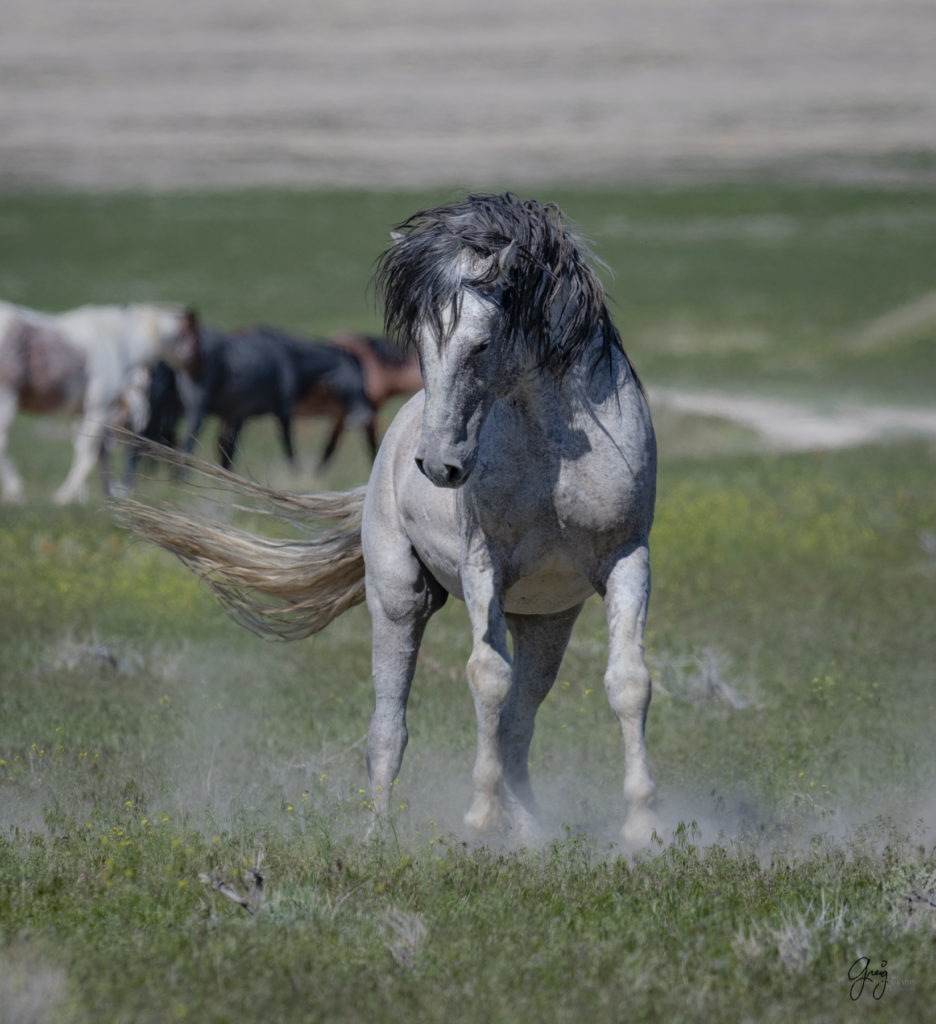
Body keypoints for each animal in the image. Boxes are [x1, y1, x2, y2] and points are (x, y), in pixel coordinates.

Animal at [0, 299, 196, 503]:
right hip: (7, 400)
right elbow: (89, 452)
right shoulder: (99, 409)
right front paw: (67, 496)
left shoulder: (83, 414)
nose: (141, 421)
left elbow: (95, 451)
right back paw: (16, 491)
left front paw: (104, 495)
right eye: (193, 336)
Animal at [116, 193, 655, 847]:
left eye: (481, 344)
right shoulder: (484, 565)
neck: (551, 448)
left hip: (546, 621)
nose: (440, 464)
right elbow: (485, 677)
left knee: (517, 724)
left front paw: (642, 826)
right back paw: (379, 837)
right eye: (421, 343)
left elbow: (627, 683)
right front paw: (480, 814)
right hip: (401, 599)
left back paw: (531, 836)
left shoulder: (625, 559)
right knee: (389, 726)